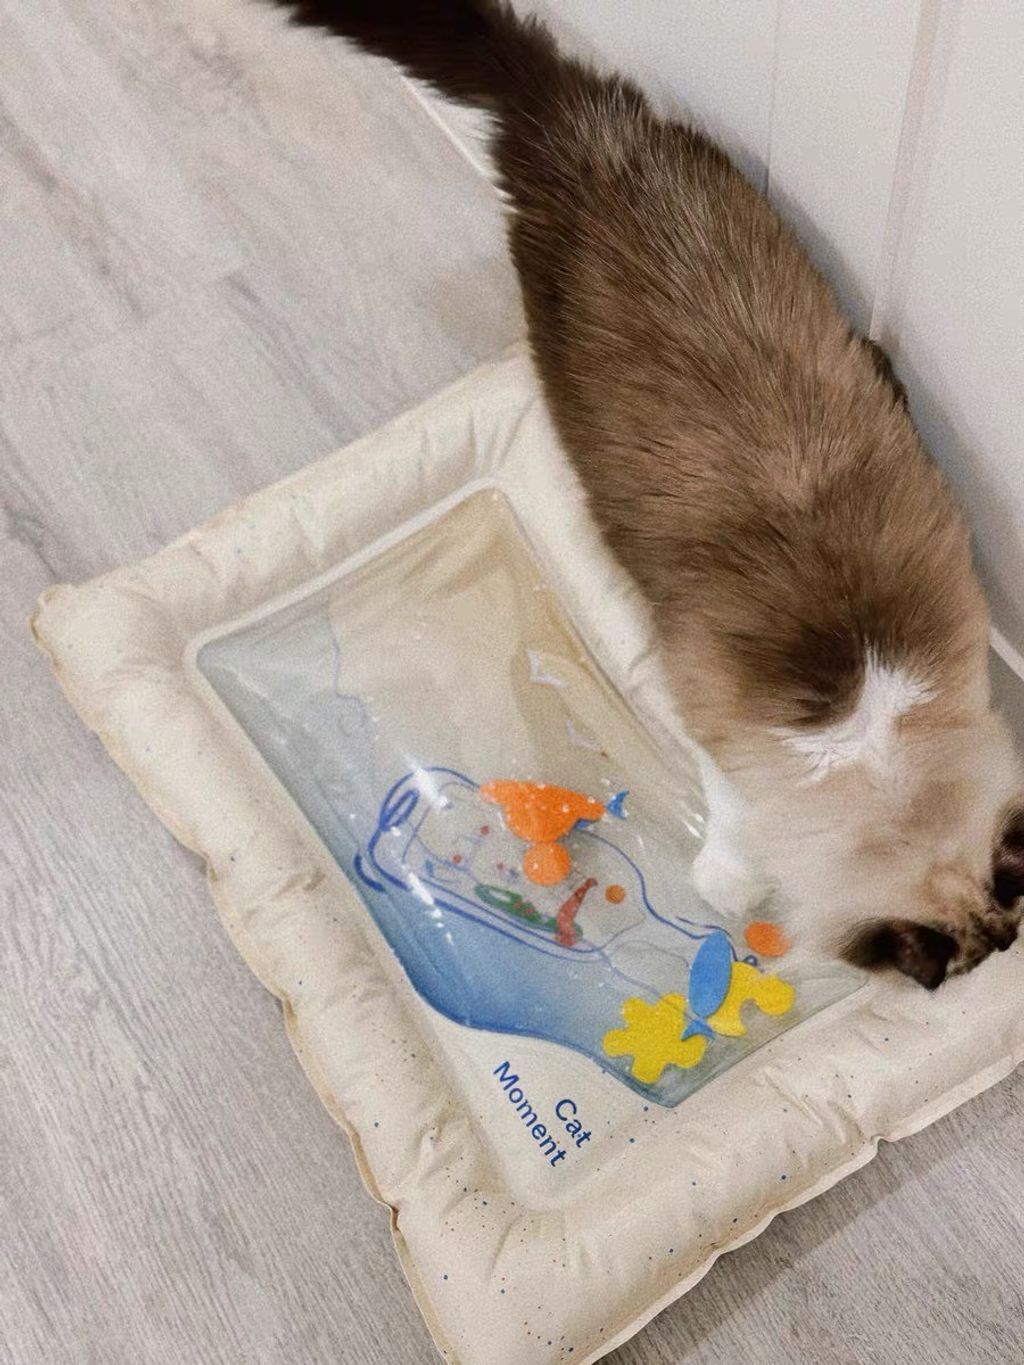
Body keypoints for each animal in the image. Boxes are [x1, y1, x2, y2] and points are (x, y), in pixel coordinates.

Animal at [264, 0, 1024, 987]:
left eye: (1001, 942)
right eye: (944, 970)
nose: (989, 958)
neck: (870, 723)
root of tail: (576, 112)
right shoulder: (723, 742)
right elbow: (733, 832)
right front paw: (730, 885)